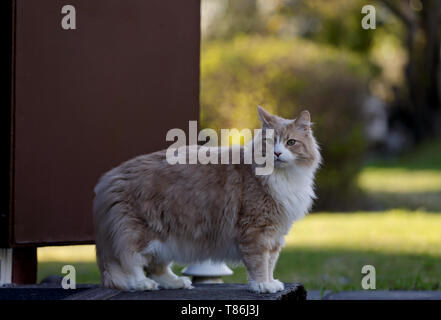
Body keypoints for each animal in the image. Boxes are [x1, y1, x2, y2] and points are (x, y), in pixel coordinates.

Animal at [93, 106, 320, 294]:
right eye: (270, 142)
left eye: (291, 142)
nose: (278, 153)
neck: (282, 177)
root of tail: (109, 177)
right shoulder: (257, 230)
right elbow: (259, 263)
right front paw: (263, 285)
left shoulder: (276, 234)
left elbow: (271, 262)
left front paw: (271, 282)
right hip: (140, 233)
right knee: (131, 262)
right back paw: (142, 284)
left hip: (166, 238)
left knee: (157, 266)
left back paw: (175, 282)